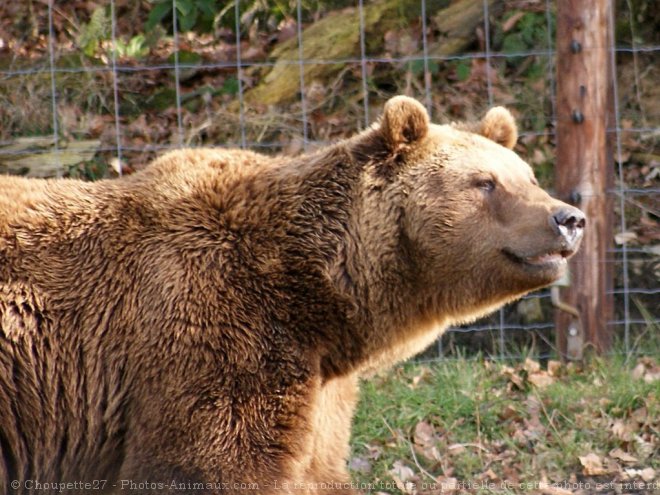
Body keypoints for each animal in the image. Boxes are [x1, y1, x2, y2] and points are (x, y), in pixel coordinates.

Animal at [2, 96, 584, 492]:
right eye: (485, 182)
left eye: (528, 176)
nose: (570, 217)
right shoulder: (217, 338)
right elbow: (211, 463)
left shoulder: (322, 388)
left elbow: (317, 468)